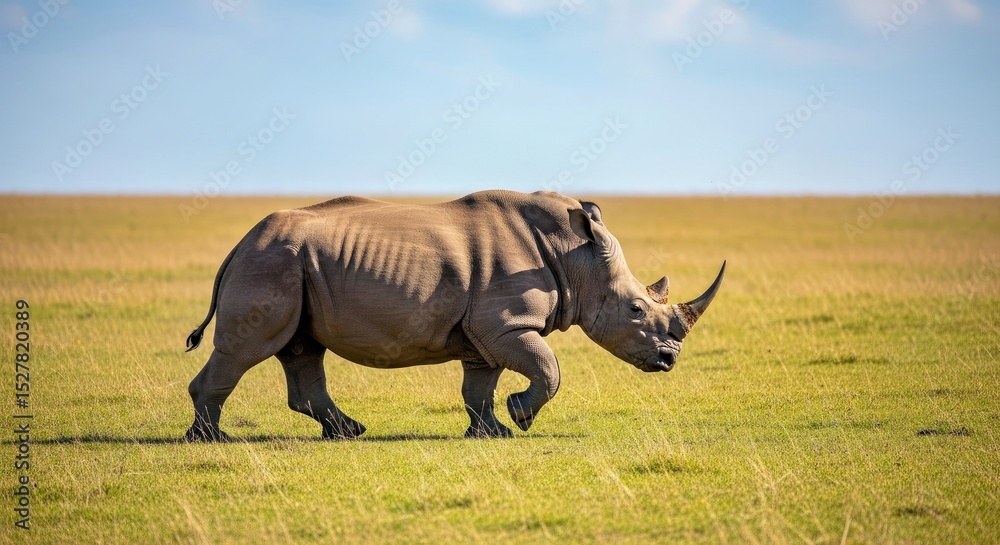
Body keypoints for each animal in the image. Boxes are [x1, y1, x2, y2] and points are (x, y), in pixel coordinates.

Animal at [184, 190, 725, 441]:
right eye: (636, 309)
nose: (669, 360)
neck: (575, 257)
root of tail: (240, 244)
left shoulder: (486, 331)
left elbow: (478, 386)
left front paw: (493, 431)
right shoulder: (506, 323)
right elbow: (548, 369)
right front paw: (521, 417)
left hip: (291, 265)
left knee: (302, 350)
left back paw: (349, 432)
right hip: (271, 262)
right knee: (247, 350)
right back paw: (211, 440)